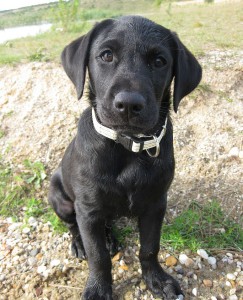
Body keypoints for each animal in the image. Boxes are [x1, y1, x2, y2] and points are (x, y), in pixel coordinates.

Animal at [49, 15, 201, 298]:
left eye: (159, 61)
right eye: (106, 55)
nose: (129, 104)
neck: (126, 145)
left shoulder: (155, 204)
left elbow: (150, 247)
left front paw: (156, 279)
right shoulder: (88, 210)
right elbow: (97, 256)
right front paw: (98, 288)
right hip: (59, 198)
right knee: (73, 225)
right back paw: (80, 243)